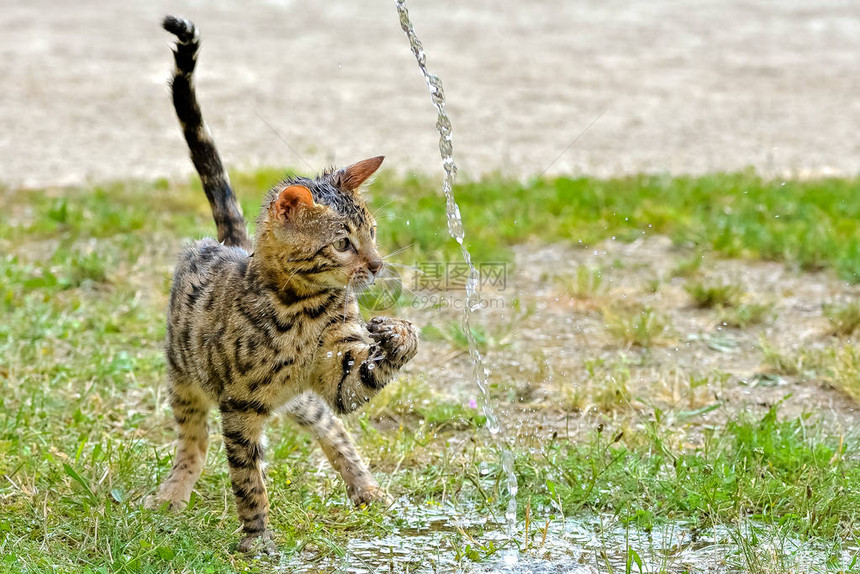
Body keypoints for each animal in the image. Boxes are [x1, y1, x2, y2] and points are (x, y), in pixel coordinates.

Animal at [145, 14, 420, 552]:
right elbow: (248, 480)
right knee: (194, 442)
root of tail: (230, 243)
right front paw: (256, 540)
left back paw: (367, 490)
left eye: (373, 233)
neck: (304, 308)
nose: (378, 266)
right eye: (343, 243)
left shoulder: (338, 376)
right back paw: (171, 494)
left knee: (331, 429)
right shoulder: (239, 405)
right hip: (185, 377)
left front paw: (399, 334)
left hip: (300, 400)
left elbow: (357, 389)